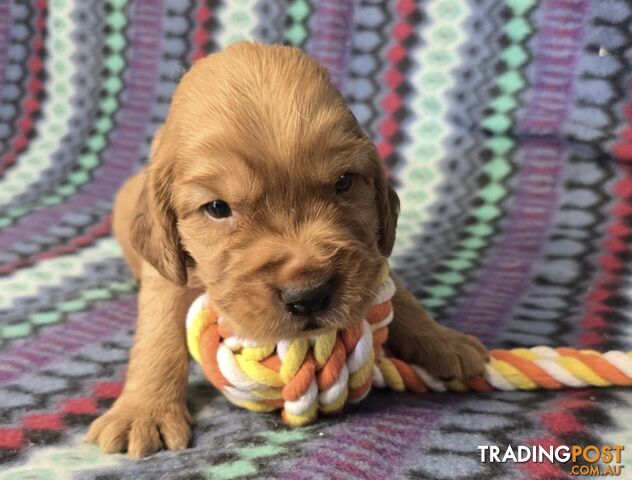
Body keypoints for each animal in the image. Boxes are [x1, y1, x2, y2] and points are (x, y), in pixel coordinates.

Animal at [85, 42, 488, 458]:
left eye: (343, 182)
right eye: (217, 208)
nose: (308, 297)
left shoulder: (369, 252)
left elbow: (401, 295)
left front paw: (443, 341)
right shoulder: (166, 273)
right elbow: (158, 330)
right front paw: (143, 411)